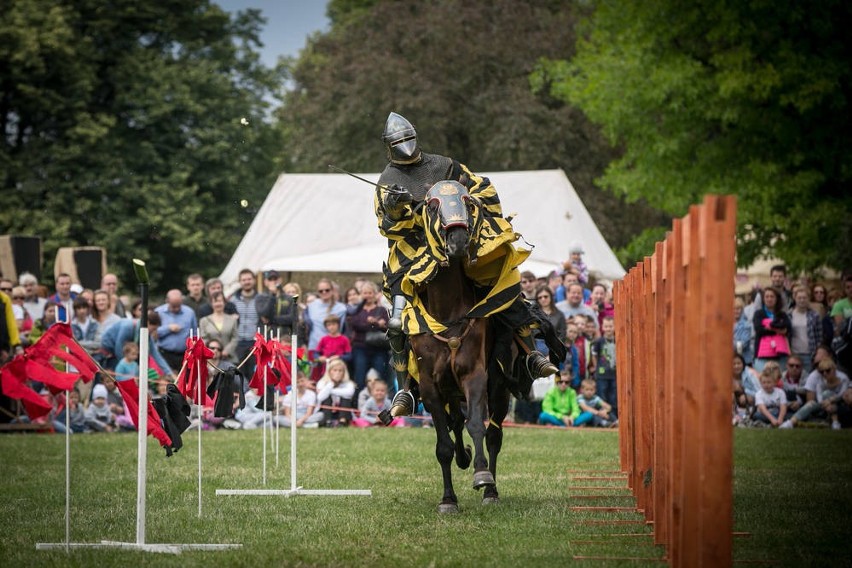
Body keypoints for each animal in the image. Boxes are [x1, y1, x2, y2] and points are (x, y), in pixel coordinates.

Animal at [410, 180, 516, 512]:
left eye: (468, 202)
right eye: (432, 206)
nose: (457, 240)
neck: (447, 311)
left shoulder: (474, 375)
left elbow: (477, 426)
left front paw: (482, 476)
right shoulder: (430, 386)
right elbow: (443, 444)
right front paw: (448, 499)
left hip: (499, 387)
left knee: (494, 434)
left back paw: (490, 490)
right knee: (455, 423)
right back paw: (463, 457)